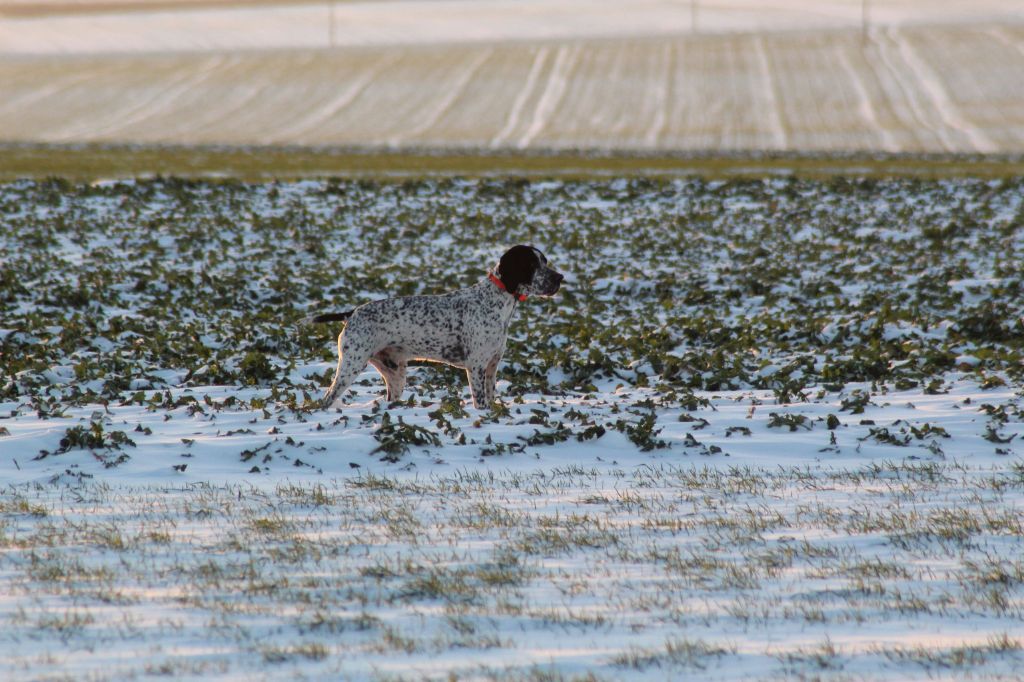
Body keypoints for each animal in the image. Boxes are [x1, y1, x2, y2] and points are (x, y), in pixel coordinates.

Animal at [307, 245, 565, 409]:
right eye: (531, 264)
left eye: (545, 261)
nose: (560, 278)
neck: (496, 302)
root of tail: (352, 312)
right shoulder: (476, 366)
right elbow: (481, 403)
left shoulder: (492, 366)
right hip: (350, 365)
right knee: (326, 398)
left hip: (396, 375)